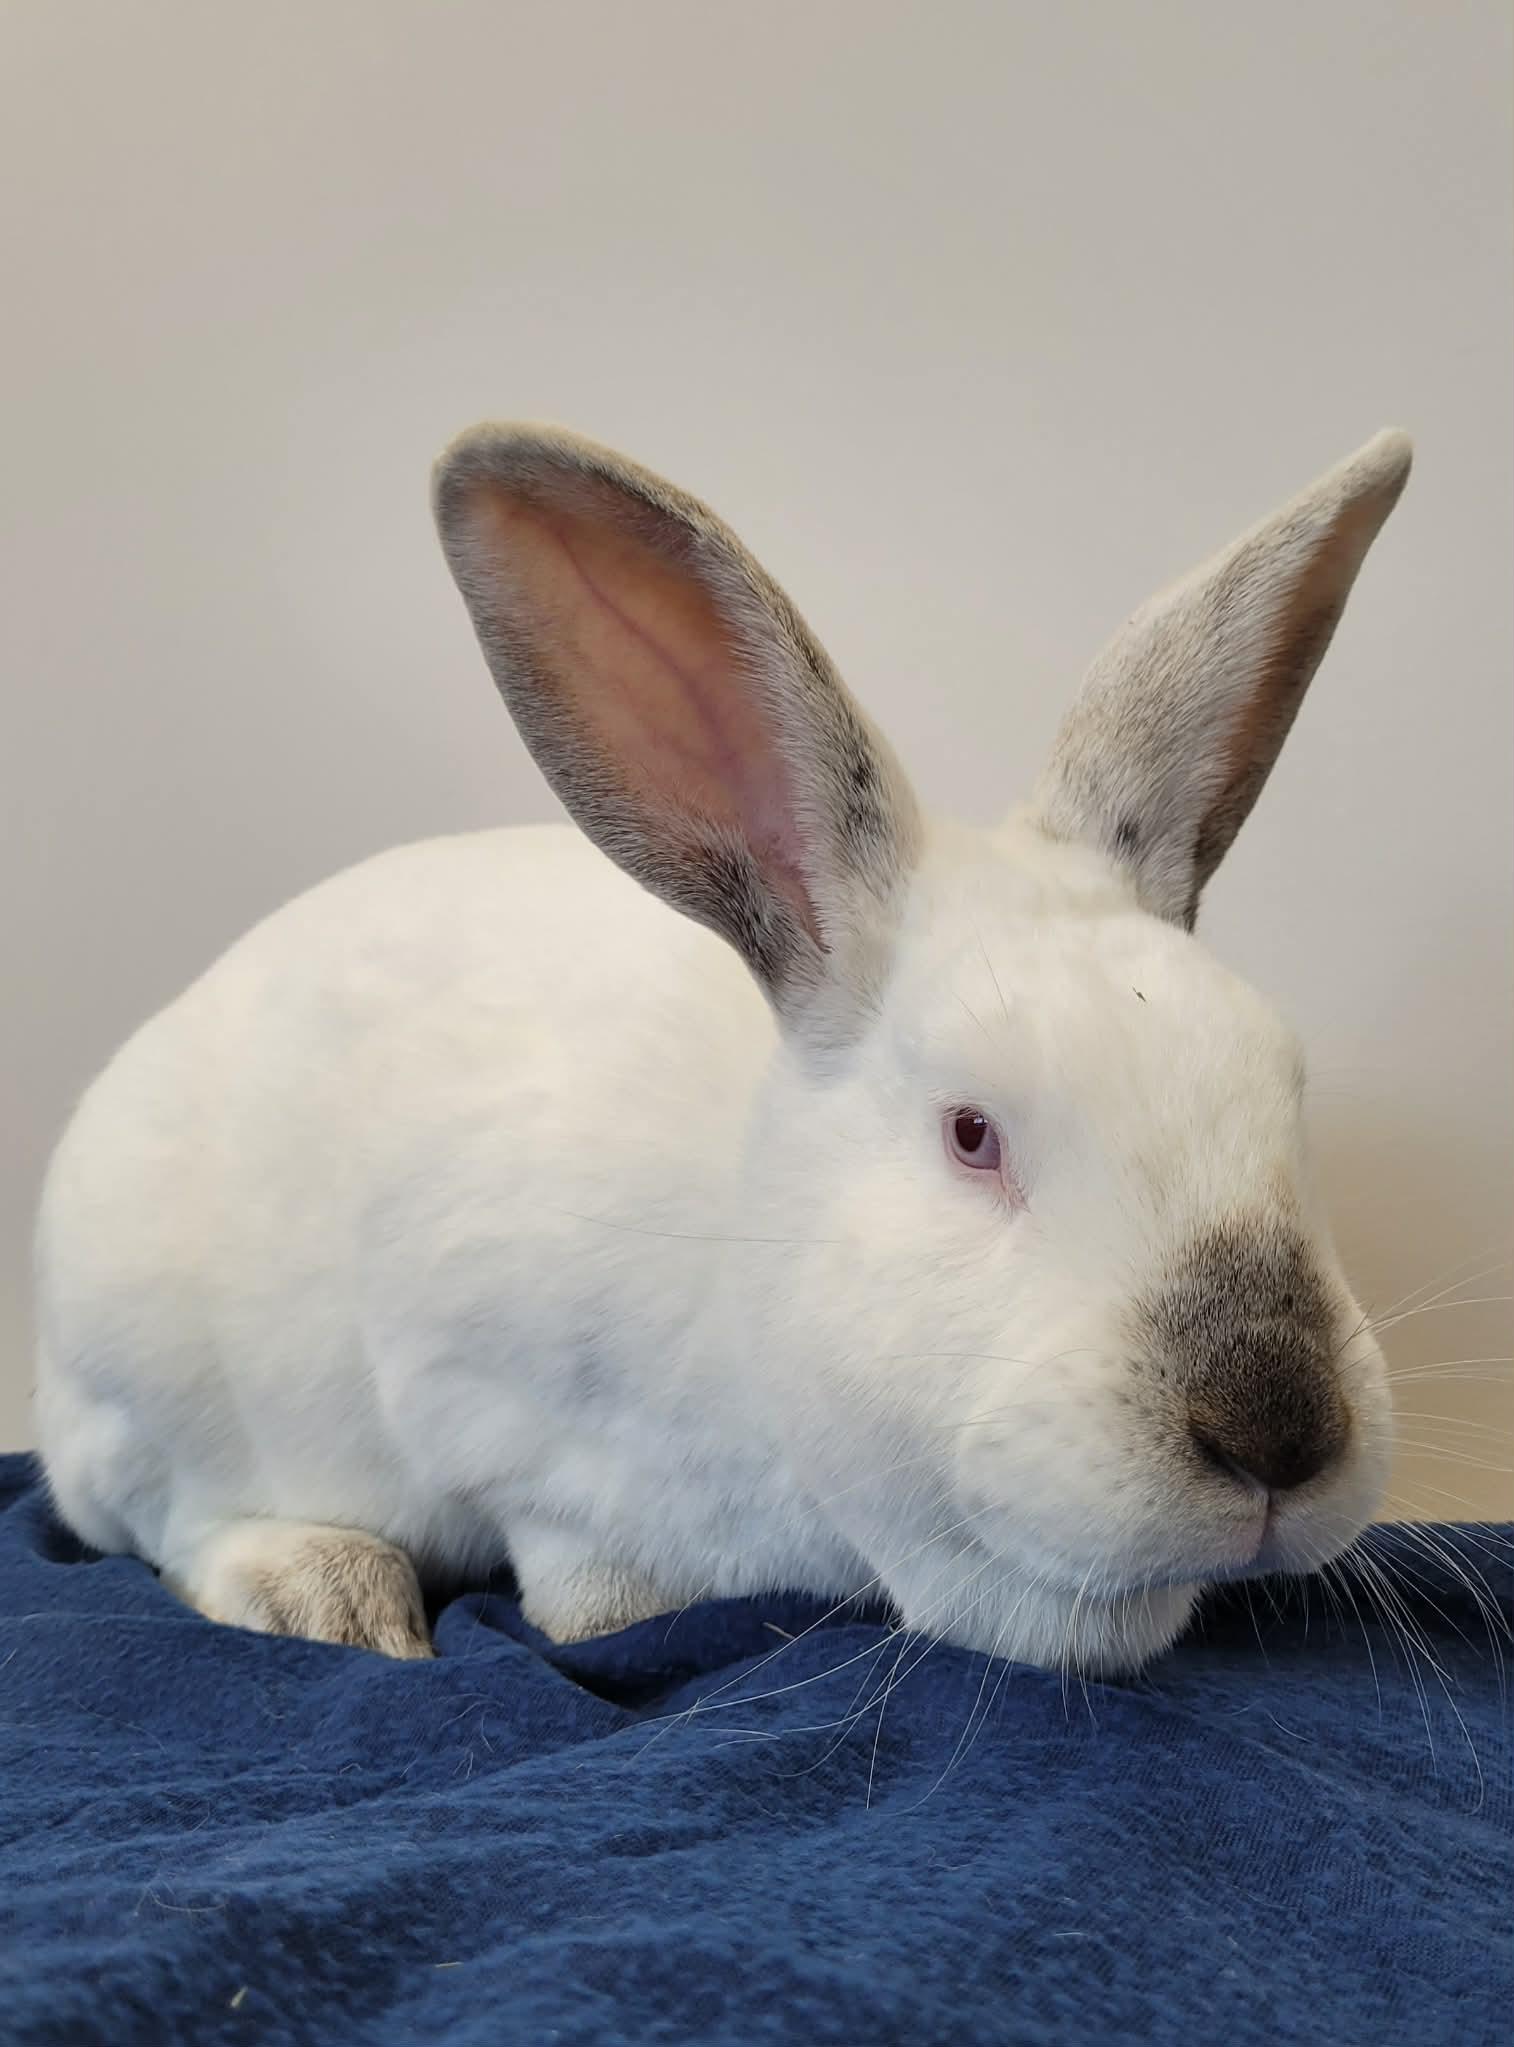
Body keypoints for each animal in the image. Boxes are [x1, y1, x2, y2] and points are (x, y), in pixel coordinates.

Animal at [33, 420, 1411, 1676]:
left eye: (1283, 1093)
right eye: (970, 1134)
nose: (1279, 1435)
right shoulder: (484, 1390)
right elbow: (576, 1568)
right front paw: (604, 1614)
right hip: (147, 1375)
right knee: (163, 1518)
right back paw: (326, 1592)